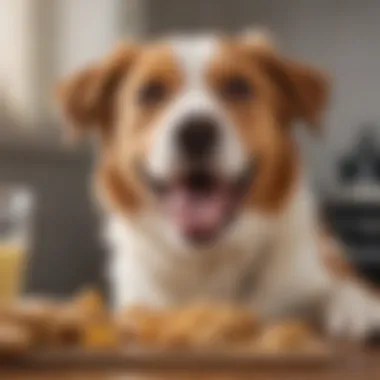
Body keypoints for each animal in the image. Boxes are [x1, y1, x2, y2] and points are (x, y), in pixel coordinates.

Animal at [55, 29, 380, 338]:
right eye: (151, 91)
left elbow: (342, 288)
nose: (196, 132)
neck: (207, 263)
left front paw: (360, 308)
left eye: (238, 86)